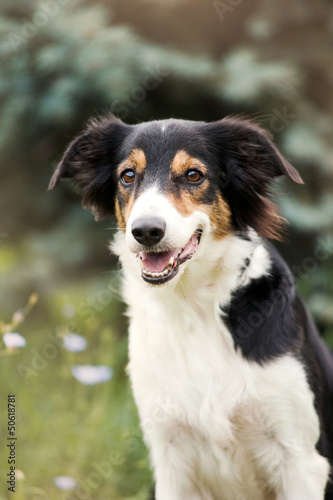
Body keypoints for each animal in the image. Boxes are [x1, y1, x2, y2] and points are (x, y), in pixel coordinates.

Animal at [49, 115, 332, 498]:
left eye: (194, 175)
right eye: (128, 175)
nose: (146, 231)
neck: (193, 309)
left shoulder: (301, 459)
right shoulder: (170, 457)